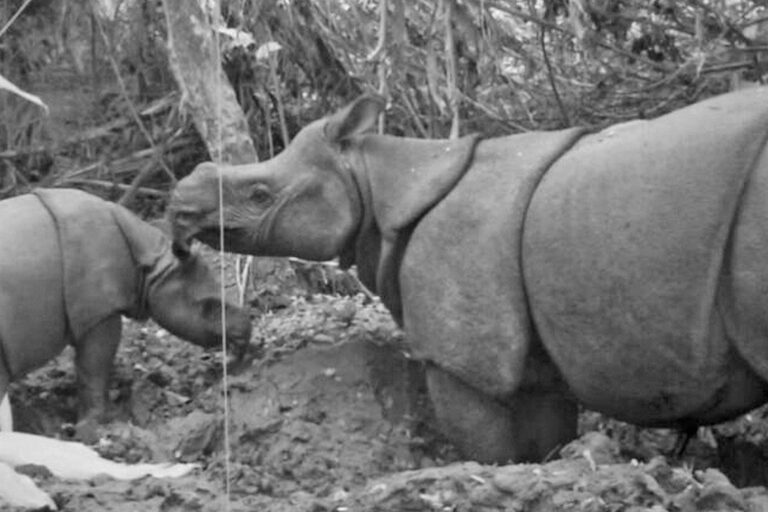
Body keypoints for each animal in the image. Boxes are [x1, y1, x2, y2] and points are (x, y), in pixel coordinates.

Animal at [0, 188, 252, 436]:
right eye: (209, 308)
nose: (246, 336)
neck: (152, 265)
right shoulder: (100, 312)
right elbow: (93, 370)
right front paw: (91, 427)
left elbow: (91, 369)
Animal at [171, 88, 768, 464]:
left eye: (259, 194)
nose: (180, 206)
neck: (373, 179)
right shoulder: (527, 350)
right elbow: (543, 435)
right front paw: (551, 469)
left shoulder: (459, 353)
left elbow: (482, 442)